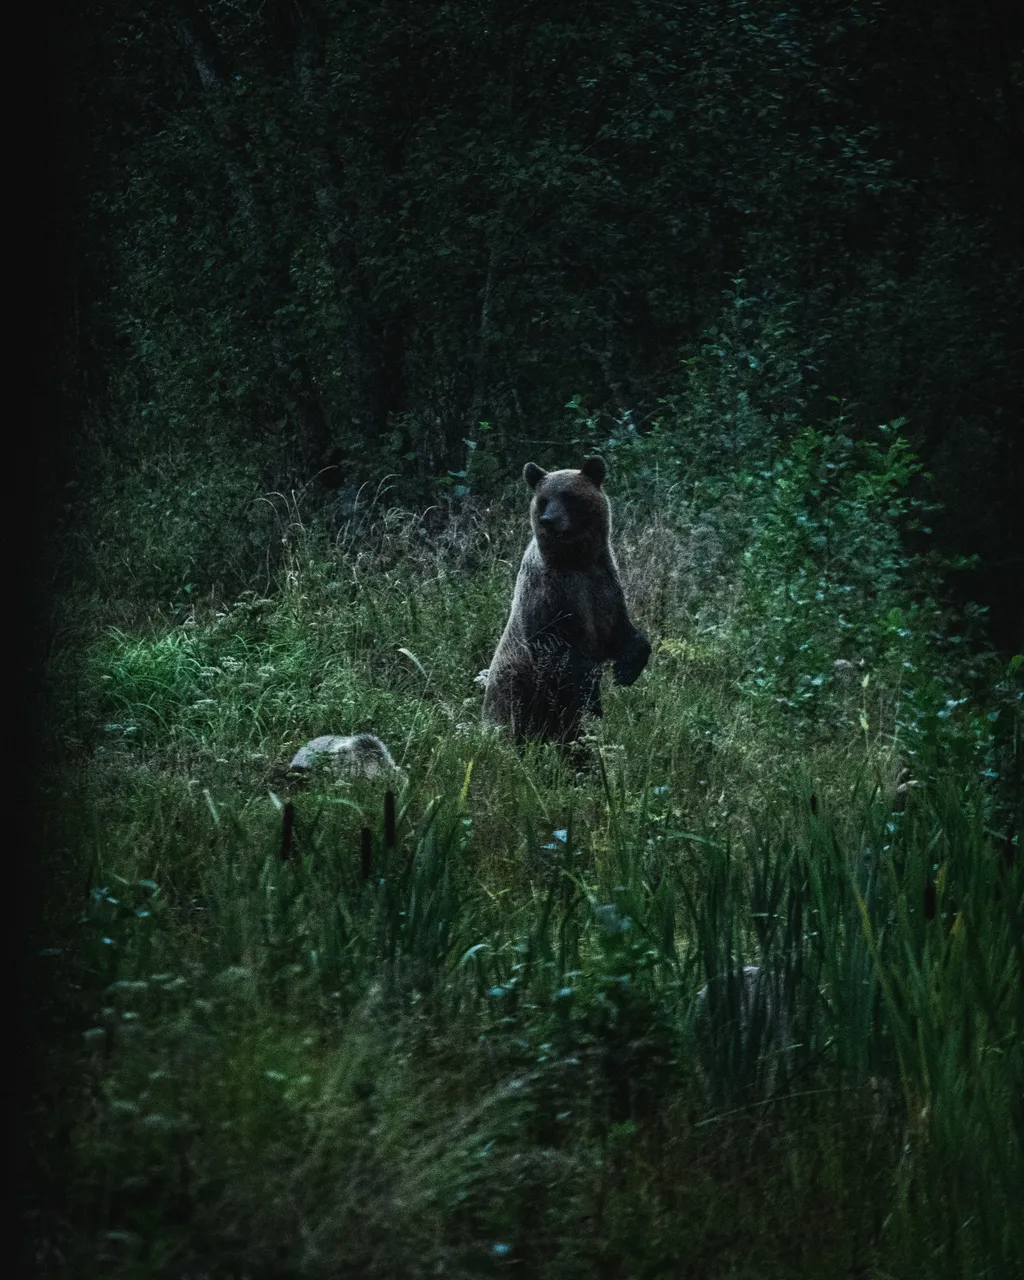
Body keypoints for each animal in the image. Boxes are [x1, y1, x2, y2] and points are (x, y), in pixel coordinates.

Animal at [482, 456, 651, 746]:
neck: (575, 559)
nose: (548, 520)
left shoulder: (603, 585)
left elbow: (620, 632)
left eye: (569, 496)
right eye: (544, 499)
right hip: (514, 692)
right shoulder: (549, 594)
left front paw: (626, 670)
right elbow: (559, 651)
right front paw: (593, 694)